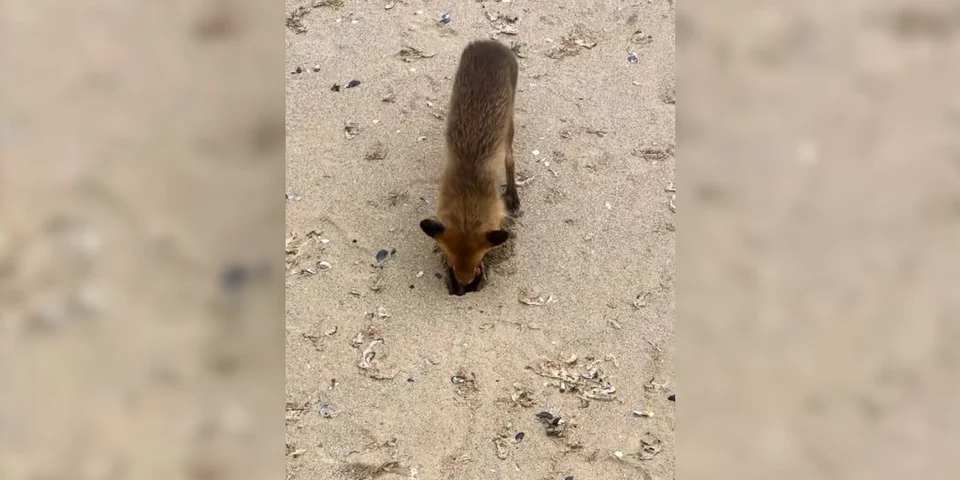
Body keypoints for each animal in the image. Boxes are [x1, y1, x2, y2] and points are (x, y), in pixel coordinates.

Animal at [419, 39, 519, 295]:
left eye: (479, 260)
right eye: (450, 262)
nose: (464, 285)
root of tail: (491, 43)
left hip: (509, 124)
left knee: (510, 158)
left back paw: (513, 195)